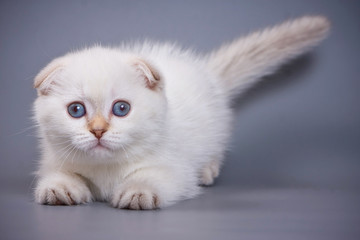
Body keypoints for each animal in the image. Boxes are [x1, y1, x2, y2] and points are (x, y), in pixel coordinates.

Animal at [33, 15, 330, 209]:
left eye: (121, 108)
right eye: (76, 110)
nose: (97, 130)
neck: (107, 169)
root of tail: (208, 73)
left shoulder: (175, 170)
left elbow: (152, 176)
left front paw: (137, 193)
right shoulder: (55, 160)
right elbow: (61, 175)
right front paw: (60, 188)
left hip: (213, 129)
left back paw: (208, 170)